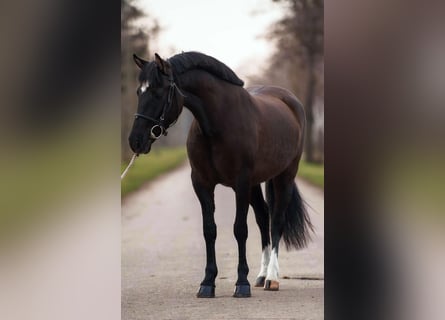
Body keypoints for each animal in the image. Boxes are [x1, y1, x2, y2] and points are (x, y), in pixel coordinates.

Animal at [128, 50, 312, 298]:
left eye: (158, 92)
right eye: (139, 92)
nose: (135, 141)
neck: (219, 123)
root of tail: (290, 100)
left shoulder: (240, 184)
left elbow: (240, 229)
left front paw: (241, 284)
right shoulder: (202, 183)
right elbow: (210, 230)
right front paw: (207, 282)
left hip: (285, 176)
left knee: (277, 220)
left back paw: (272, 278)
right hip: (256, 184)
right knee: (263, 217)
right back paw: (261, 275)